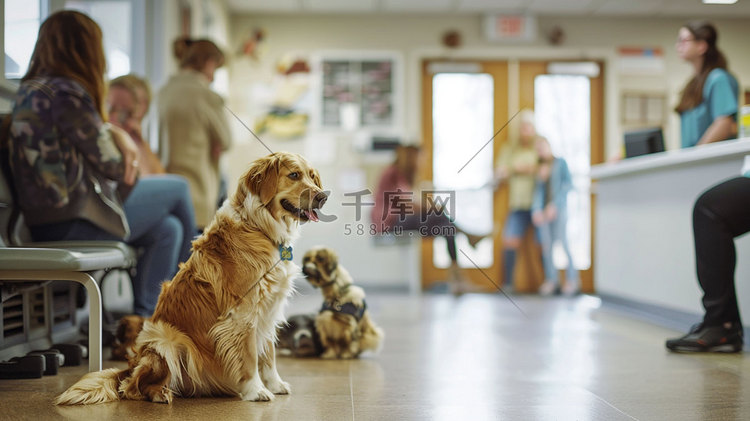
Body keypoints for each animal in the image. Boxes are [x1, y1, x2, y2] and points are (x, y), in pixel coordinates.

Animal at [55, 151, 326, 404]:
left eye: (312, 176)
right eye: (294, 175)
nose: (323, 196)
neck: (259, 227)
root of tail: (130, 365)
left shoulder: (270, 308)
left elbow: (268, 355)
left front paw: (275, 384)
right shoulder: (242, 314)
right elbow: (250, 357)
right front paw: (255, 390)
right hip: (168, 338)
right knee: (132, 387)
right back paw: (159, 393)